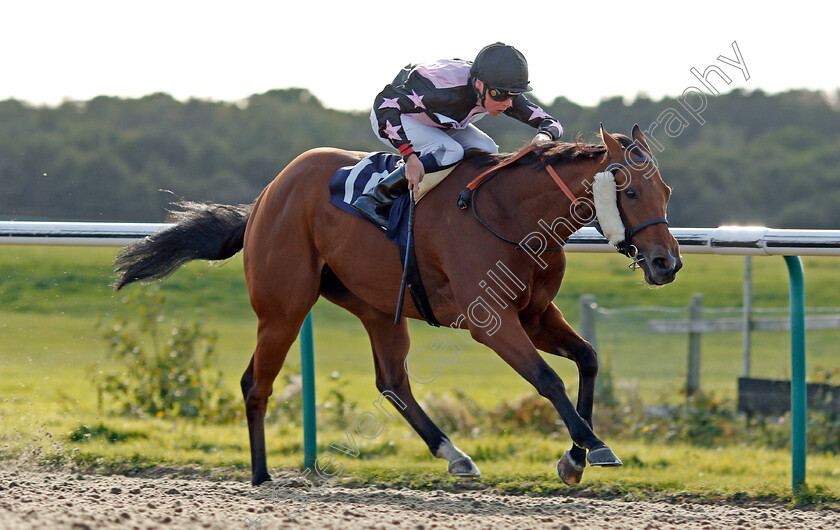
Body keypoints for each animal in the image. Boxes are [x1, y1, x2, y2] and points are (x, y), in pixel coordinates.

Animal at [113, 125, 684, 486]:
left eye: (667, 189)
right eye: (630, 192)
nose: (666, 263)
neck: (510, 214)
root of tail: (265, 197)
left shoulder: (536, 315)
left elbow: (588, 359)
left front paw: (575, 458)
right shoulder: (493, 321)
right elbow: (548, 380)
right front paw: (594, 447)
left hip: (376, 307)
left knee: (392, 381)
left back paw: (454, 454)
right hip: (283, 308)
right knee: (256, 383)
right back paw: (261, 475)